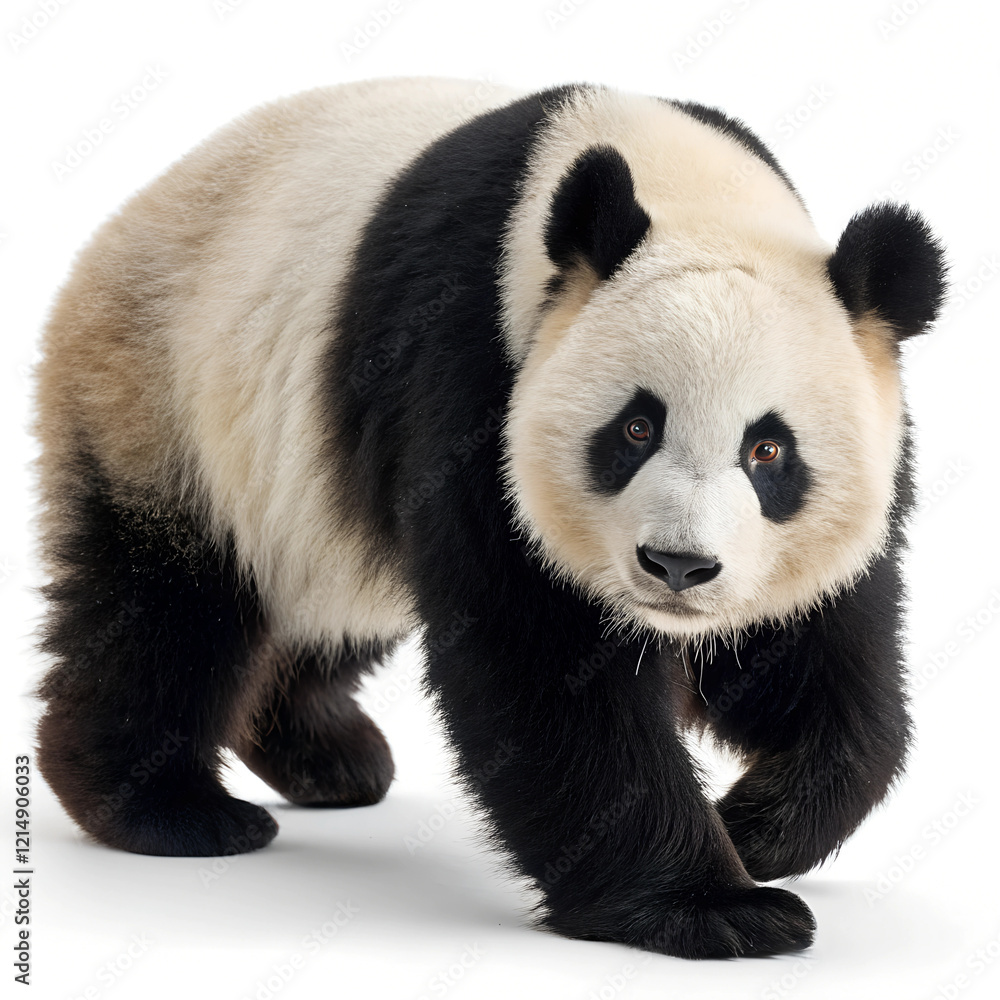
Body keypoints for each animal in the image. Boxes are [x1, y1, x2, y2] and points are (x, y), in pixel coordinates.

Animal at [33, 77, 945, 959]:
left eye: (768, 450)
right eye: (635, 429)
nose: (677, 567)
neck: (688, 190)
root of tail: (122, 221)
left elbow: (815, 658)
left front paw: (756, 829)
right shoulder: (470, 379)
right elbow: (538, 663)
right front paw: (712, 909)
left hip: (295, 486)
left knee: (327, 600)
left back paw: (326, 755)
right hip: (160, 390)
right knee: (165, 607)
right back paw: (166, 806)